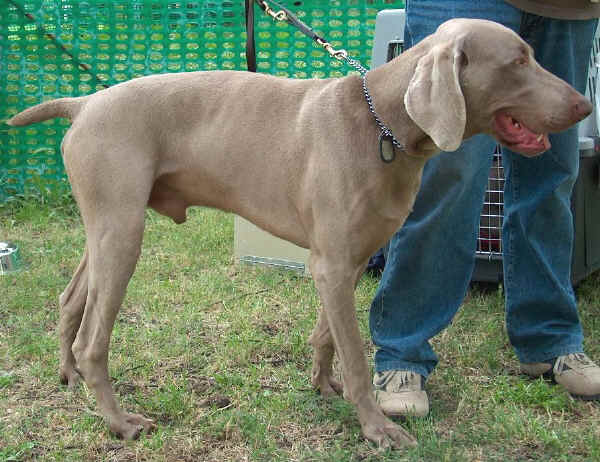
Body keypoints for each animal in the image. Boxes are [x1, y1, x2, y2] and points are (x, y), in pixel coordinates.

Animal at [8, 19, 592, 448]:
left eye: (531, 55)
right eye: (518, 61)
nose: (583, 104)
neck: (381, 125)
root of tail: (84, 103)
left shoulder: (348, 260)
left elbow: (328, 336)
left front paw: (323, 387)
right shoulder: (331, 264)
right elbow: (357, 356)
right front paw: (377, 428)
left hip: (107, 225)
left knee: (69, 299)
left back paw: (67, 376)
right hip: (122, 230)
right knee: (93, 339)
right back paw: (120, 421)